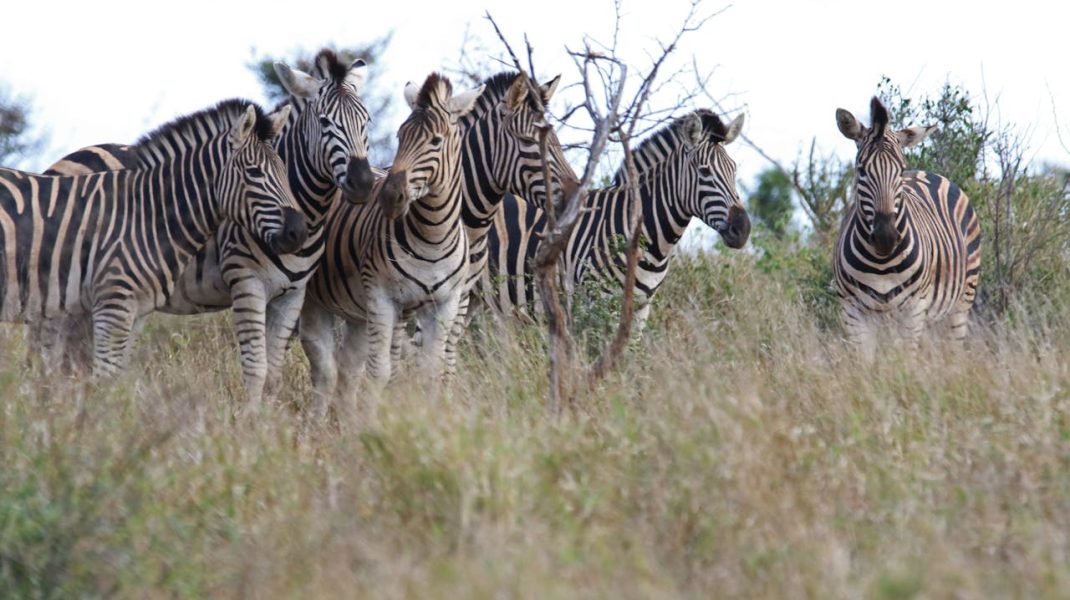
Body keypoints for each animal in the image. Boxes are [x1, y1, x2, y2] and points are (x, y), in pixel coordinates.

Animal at [1, 100, 310, 376]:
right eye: (255, 172)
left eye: (285, 169)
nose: (299, 232)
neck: (149, 213)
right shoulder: (113, 303)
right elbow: (104, 378)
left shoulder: (135, 308)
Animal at [34, 49, 376, 400]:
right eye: (324, 122)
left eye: (367, 121)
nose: (363, 182)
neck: (308, 210)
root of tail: (64, 161)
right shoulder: (247, 282)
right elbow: (255, 368)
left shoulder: (292, 294)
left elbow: (274, 373)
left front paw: (271, 413)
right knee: (51, 352)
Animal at [301, 73, 485, 410]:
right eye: (400, 136)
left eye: (436, 141)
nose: (388, 197)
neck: (433, 237)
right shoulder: (382, 298)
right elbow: (379, 372)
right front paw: (371, 420)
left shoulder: (445, 304)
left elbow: (431, 371)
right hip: (313, 299)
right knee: (322, 369)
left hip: (358, 311)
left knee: (347, 369)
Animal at [830, 97, 980, 355]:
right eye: (861, 170)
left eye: (899, 170)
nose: (885, 237)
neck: (880, 263)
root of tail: (926, 172)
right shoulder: (852, 312)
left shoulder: (913, 310)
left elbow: (905, 360)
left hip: (961, 302)